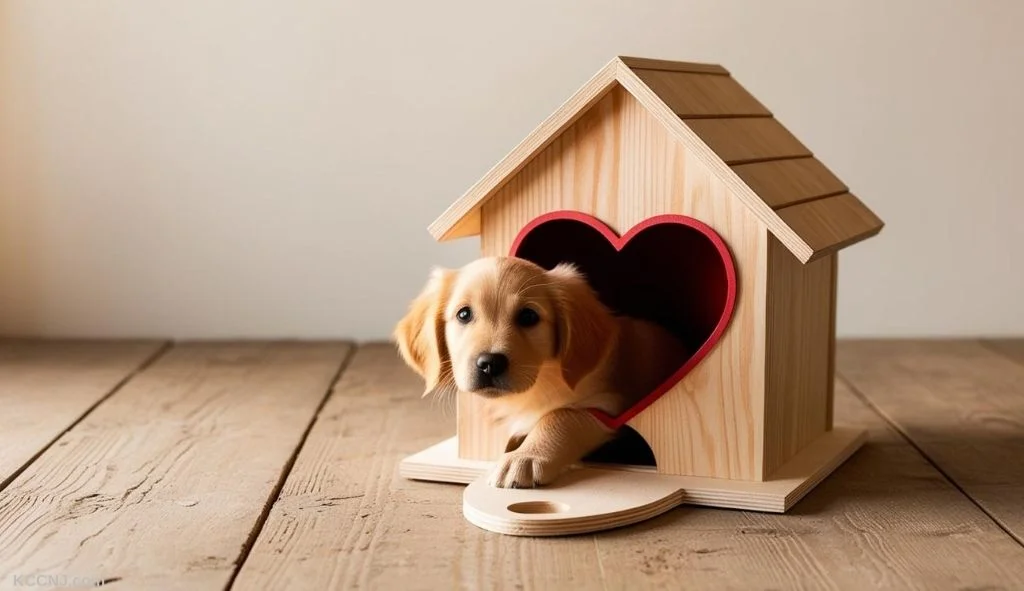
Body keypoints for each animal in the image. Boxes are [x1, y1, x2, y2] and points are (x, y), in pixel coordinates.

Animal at [391, 256, 688, 485]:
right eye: (463, 314)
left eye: (528, 316)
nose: (489, 363)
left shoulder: (606, 404)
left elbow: (559, 416)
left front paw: (524, 457)